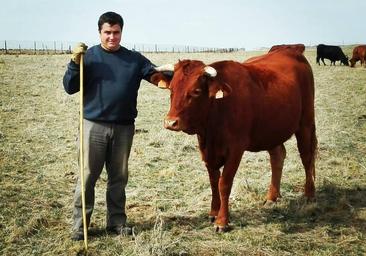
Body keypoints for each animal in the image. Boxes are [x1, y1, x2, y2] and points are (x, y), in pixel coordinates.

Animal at [152, 49, 318, 232]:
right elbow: (213, 182)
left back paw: (309, 194)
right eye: (171, 90)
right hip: (271, 131)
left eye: (196, 91)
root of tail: (290, 49)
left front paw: (222, 221)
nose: (170, 122)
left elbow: (224, 183)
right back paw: (272, 197)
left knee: (307, 157)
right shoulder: (207, 150)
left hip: (305, 124)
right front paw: (213, 212)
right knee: (278, 157)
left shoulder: (235, 149)